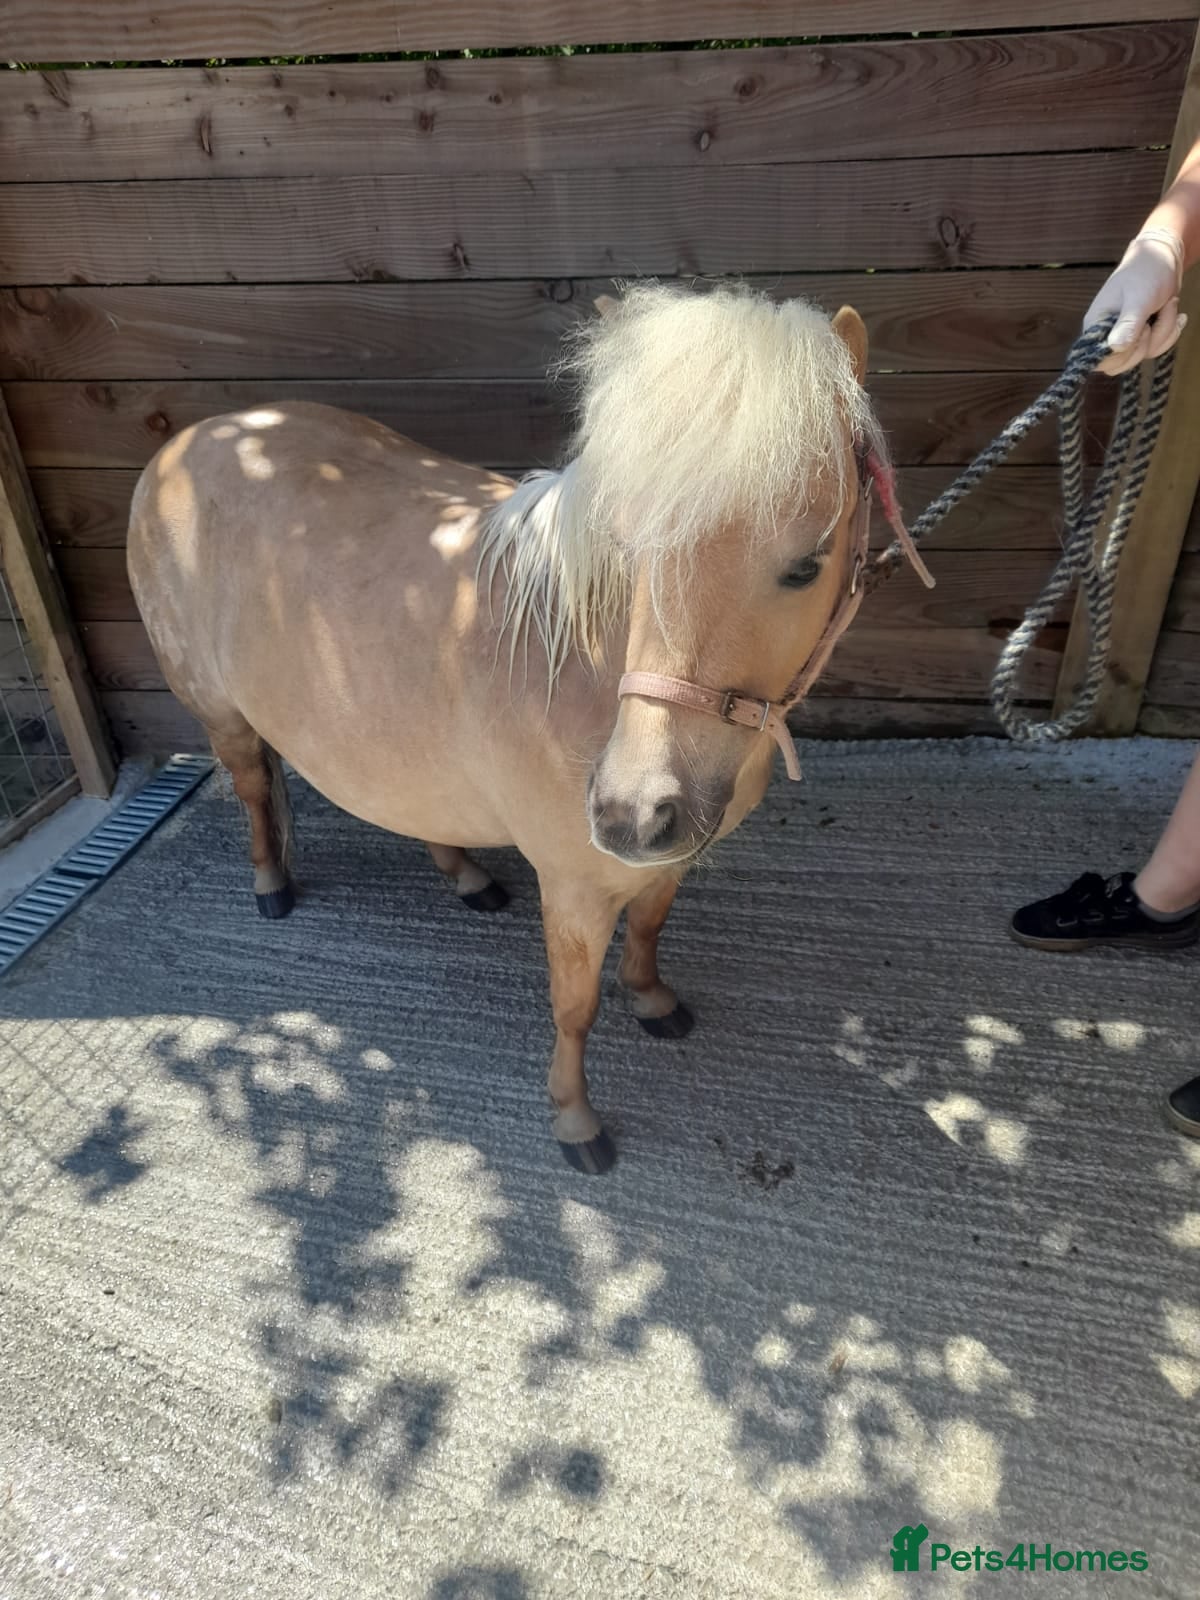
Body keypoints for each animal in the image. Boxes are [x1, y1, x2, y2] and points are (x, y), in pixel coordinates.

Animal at [127, 283, 890, 1174]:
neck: (587, 670)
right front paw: (575, 1120)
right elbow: (574, 1008)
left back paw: (465, 875)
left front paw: (651, 999)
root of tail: (192, 442)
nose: (631, 814)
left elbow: (650, 930)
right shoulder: (576, 889)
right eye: (626, 549)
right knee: (252, 792)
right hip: (220, 713)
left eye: (806, 564)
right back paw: (271, 885)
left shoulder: (669, 858)